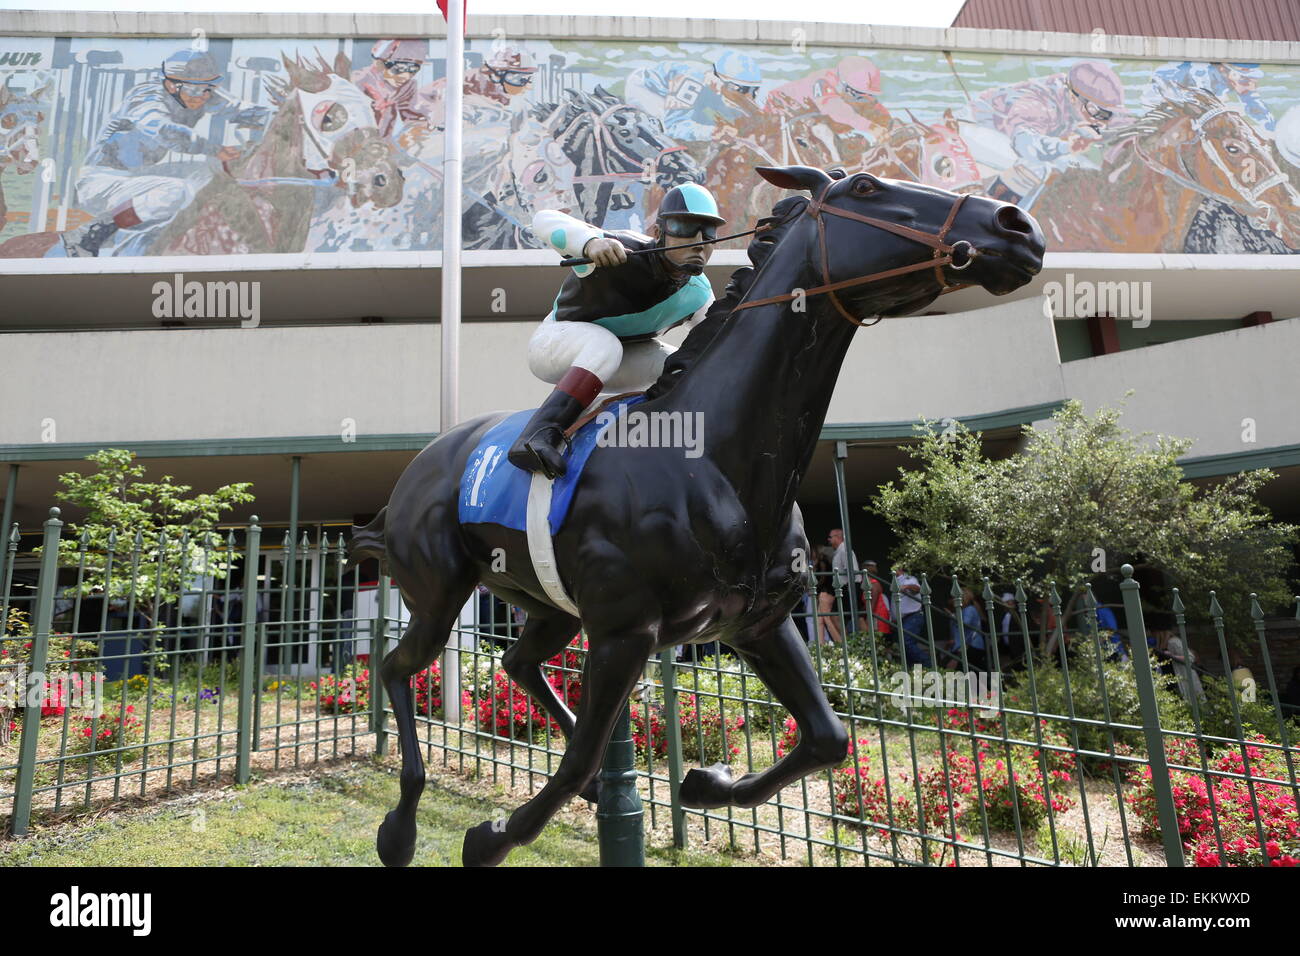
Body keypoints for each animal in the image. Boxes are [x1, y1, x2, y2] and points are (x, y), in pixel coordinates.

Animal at [351, 164, 1040, 868]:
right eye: (867, 187)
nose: (1017, 226)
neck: (708, 457)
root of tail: (418, 468)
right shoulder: (625, 630)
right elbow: (578, 759)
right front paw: (489, 837)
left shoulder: (758, 622)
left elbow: (828, 738)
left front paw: (706, 782)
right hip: (439, 593)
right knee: (395, 667)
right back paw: (399, 826)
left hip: (546, 603)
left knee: (517, 662)